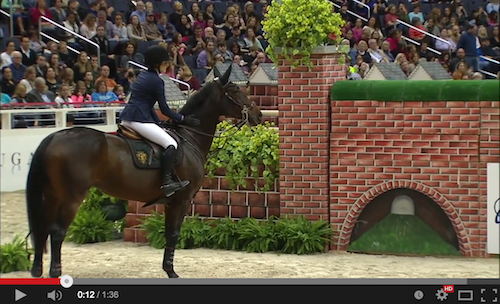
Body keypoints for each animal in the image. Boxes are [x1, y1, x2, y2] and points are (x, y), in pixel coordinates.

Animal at [25, 65, 264, 280]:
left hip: (52, 195)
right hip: (72, 197)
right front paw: (171, 271)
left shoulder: (170, 201)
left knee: (43, 229)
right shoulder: (183, 199)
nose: (258, 114)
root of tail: (54, 137)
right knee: (57, 232)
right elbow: (174, 233)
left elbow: (169, 232)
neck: (190, 137)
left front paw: (167, 268)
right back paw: (56, 273)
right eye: (235, 90)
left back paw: (37, 271)